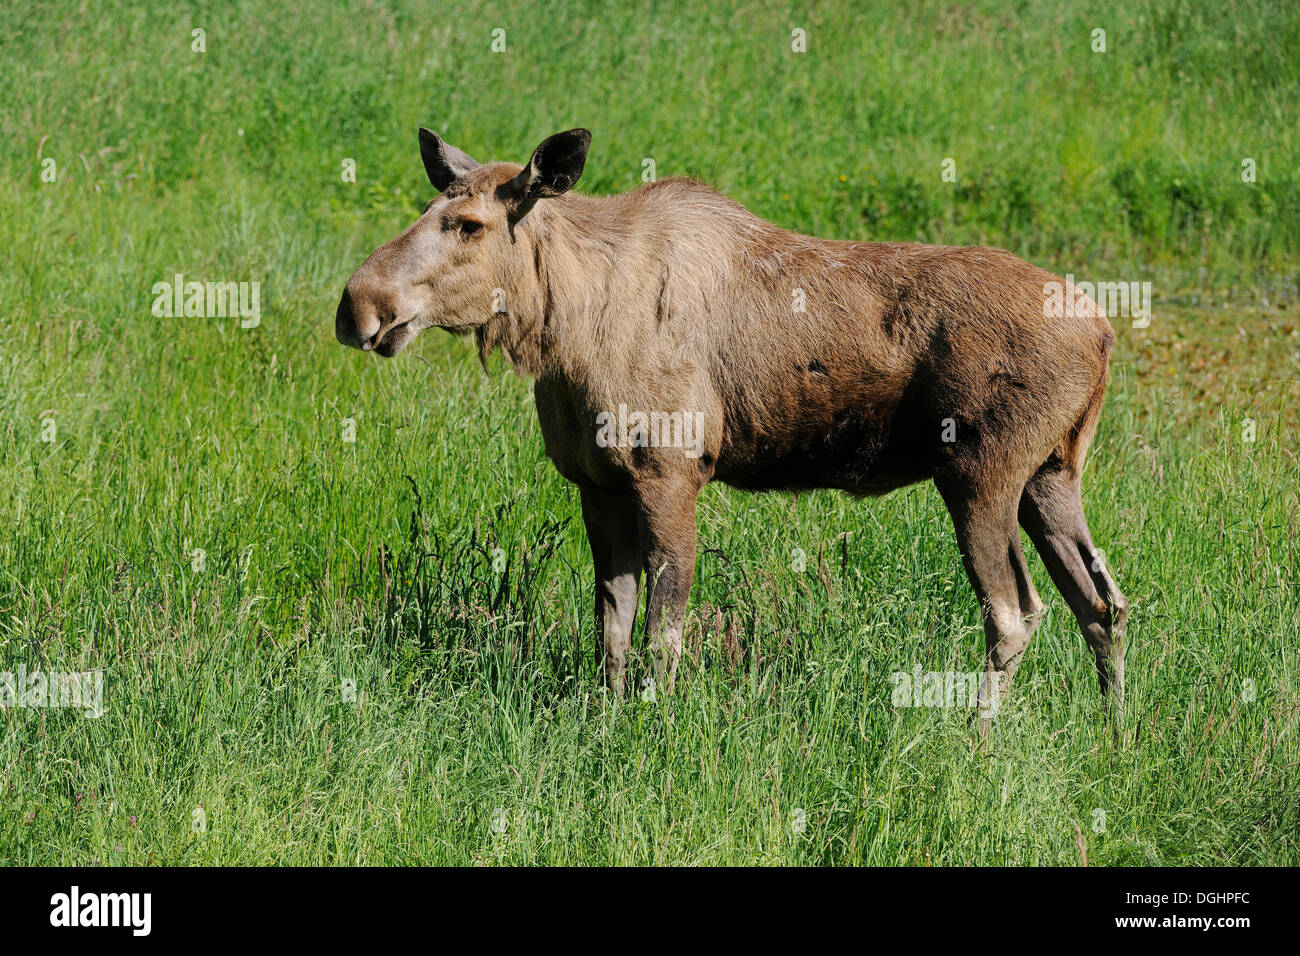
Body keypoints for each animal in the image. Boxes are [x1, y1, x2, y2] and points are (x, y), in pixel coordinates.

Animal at [338, 128, 1128, 723]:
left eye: (469, 225)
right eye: (427, 209)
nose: (358, 306)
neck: (564, 328)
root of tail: (1104, 334)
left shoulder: (670, 472)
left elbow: (663, 635)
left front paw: (649, 729)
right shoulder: (597, 484)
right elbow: (611, 631)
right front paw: (606, 721)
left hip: (980, 475)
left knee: (1016, 612)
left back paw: (973, 741)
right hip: (1051, 477)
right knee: (1104, 603)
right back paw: (1116, 737)